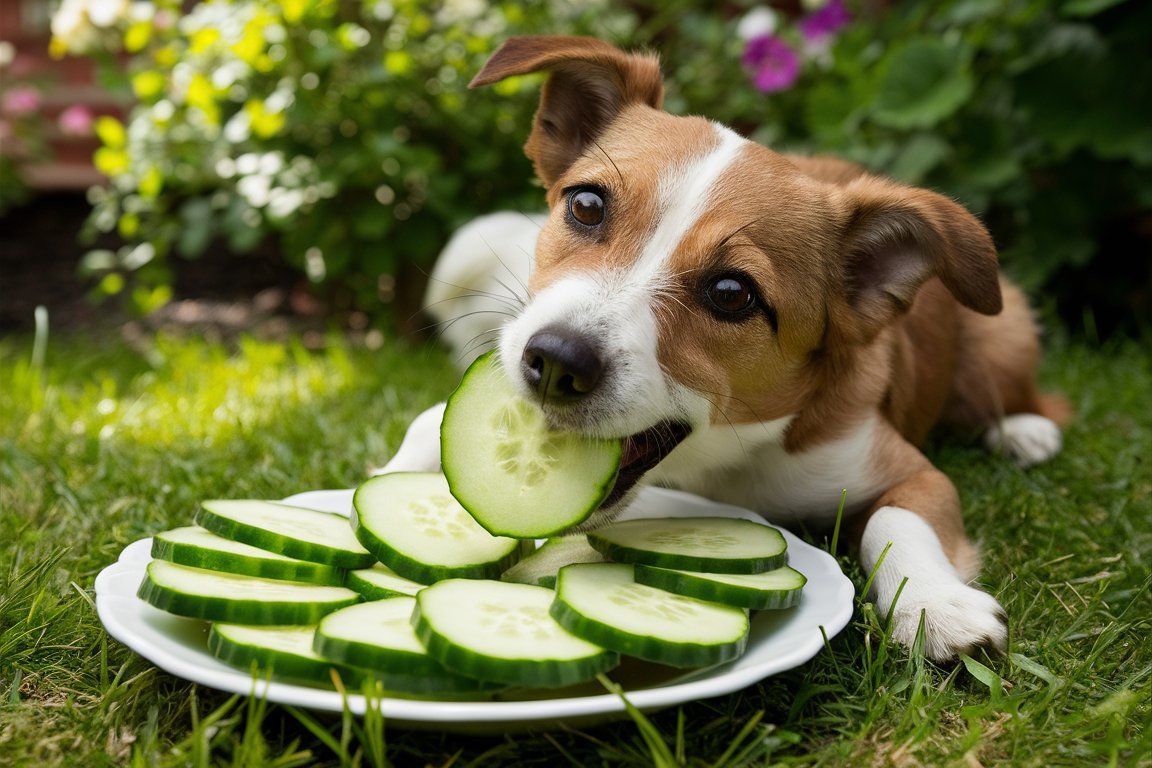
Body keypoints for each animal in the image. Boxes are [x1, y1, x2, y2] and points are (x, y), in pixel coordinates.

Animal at [380, 35, 1069, 663]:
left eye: (733, 293)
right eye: (586, 205)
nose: (554, 362)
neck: (712, 464)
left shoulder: (907, 471)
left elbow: (896, 520)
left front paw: (936, 604)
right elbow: (424, 429)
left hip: (1000, 344)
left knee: (1028, 398)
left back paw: (1023, 430)